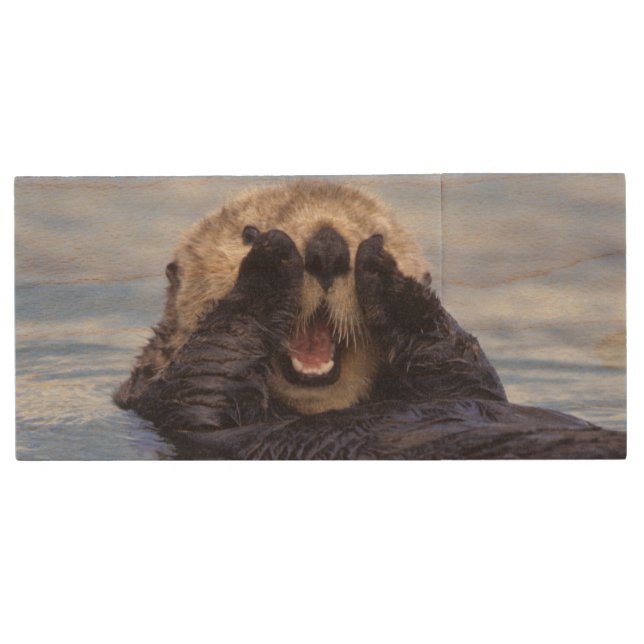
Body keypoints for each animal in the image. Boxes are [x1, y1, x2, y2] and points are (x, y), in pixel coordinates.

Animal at [115, 181, 625, 459]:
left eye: (373, 232)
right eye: (247, 231)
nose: (327, 248)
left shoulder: (465, 385)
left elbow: (462, 367)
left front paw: (388, 275)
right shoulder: (172, 403)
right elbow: (211, 364)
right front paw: (270, 262)